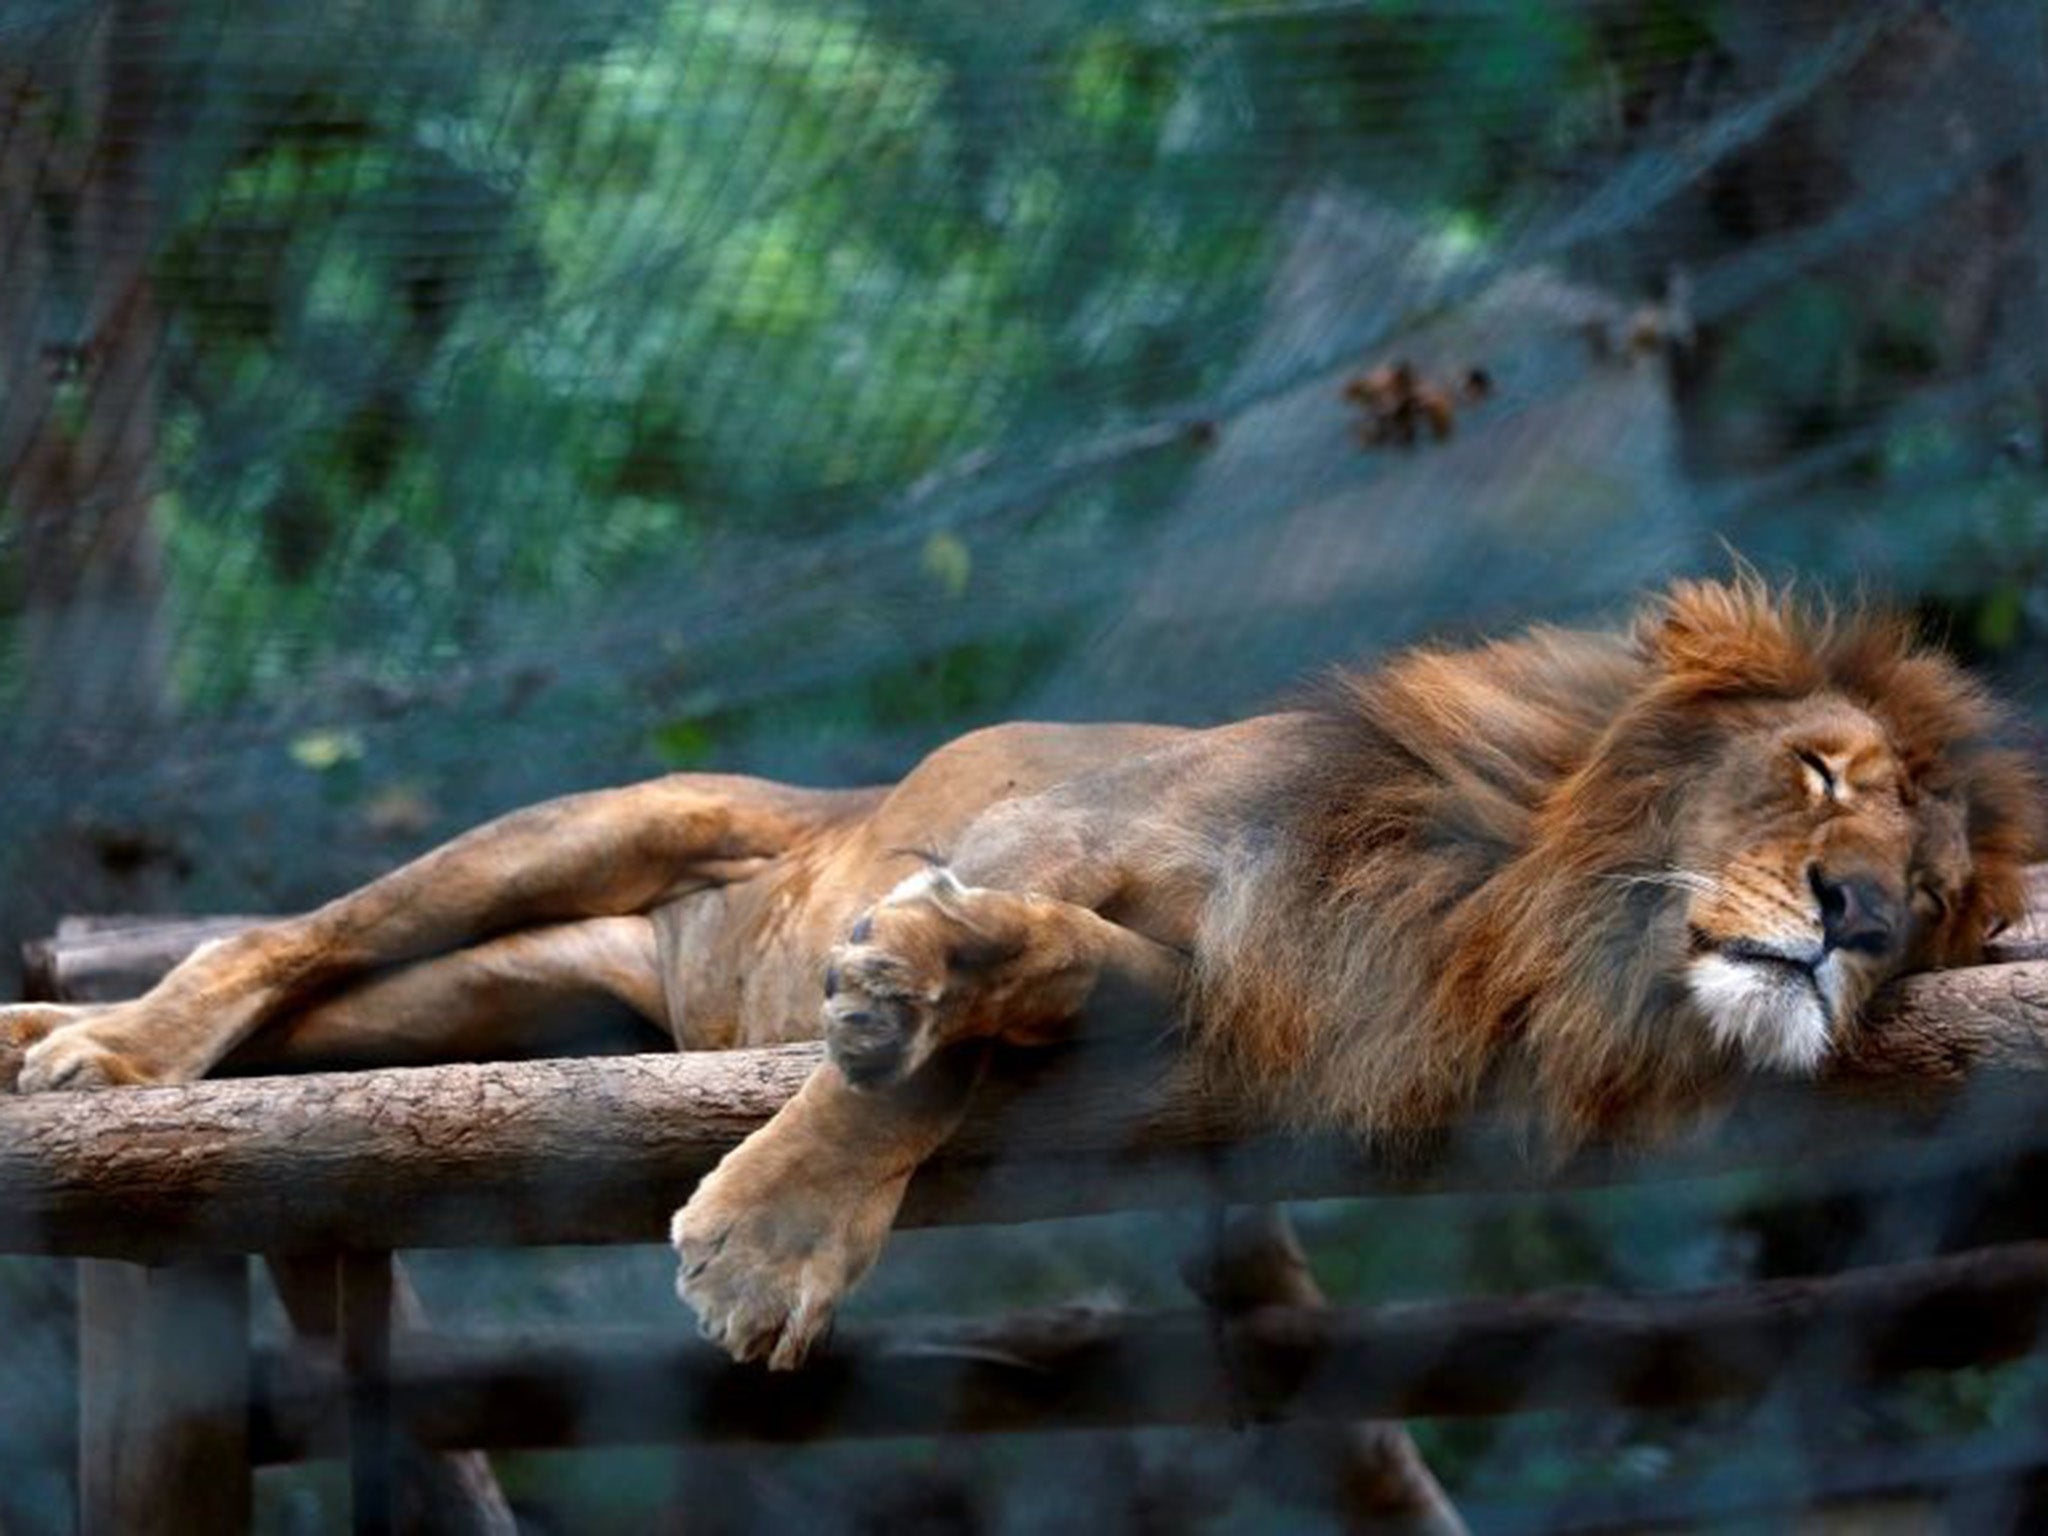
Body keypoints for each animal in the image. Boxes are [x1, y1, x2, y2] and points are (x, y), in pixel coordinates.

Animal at [0, 581, 2039, 1368]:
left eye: (1937, 893)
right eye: (1819, 776)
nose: (1858, 919)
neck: (1503, 893)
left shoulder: (1202, 992)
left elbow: (1003, 1013)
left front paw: (924, 992)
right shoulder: (1073, 824)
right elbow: (922, 1044)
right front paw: (770, 1233)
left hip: (503, 999)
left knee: (323, 1011)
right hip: (597, 827)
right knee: (280, 938)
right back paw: (100, 1052)